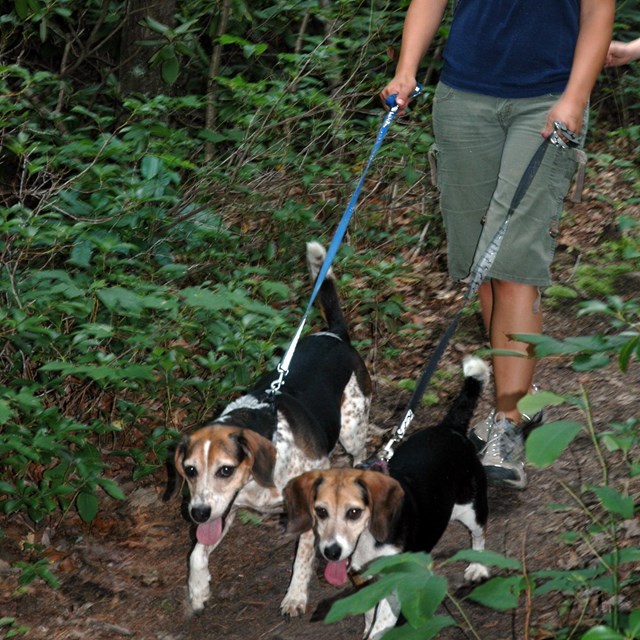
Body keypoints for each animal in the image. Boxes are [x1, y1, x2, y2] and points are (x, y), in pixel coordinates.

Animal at [175, 240, 376, 616]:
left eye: (225, 470)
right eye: (190, 470)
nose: (197, 513)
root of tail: (334, 334)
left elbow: (303, 558)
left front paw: (295, 596)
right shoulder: (224, 511)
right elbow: (196, 553)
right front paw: (197, 590)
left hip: (353, 428)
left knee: (361, 454)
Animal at [284, 358, 490, 636]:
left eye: (354, 512)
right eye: (320, 511)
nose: (332, 552)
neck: (367, 541)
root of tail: (450, 428)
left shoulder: (394, 583)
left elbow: (381, 626)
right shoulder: (367, 580)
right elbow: (369, 613)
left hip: (472, 509)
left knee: (479, 536)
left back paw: (478, 567)